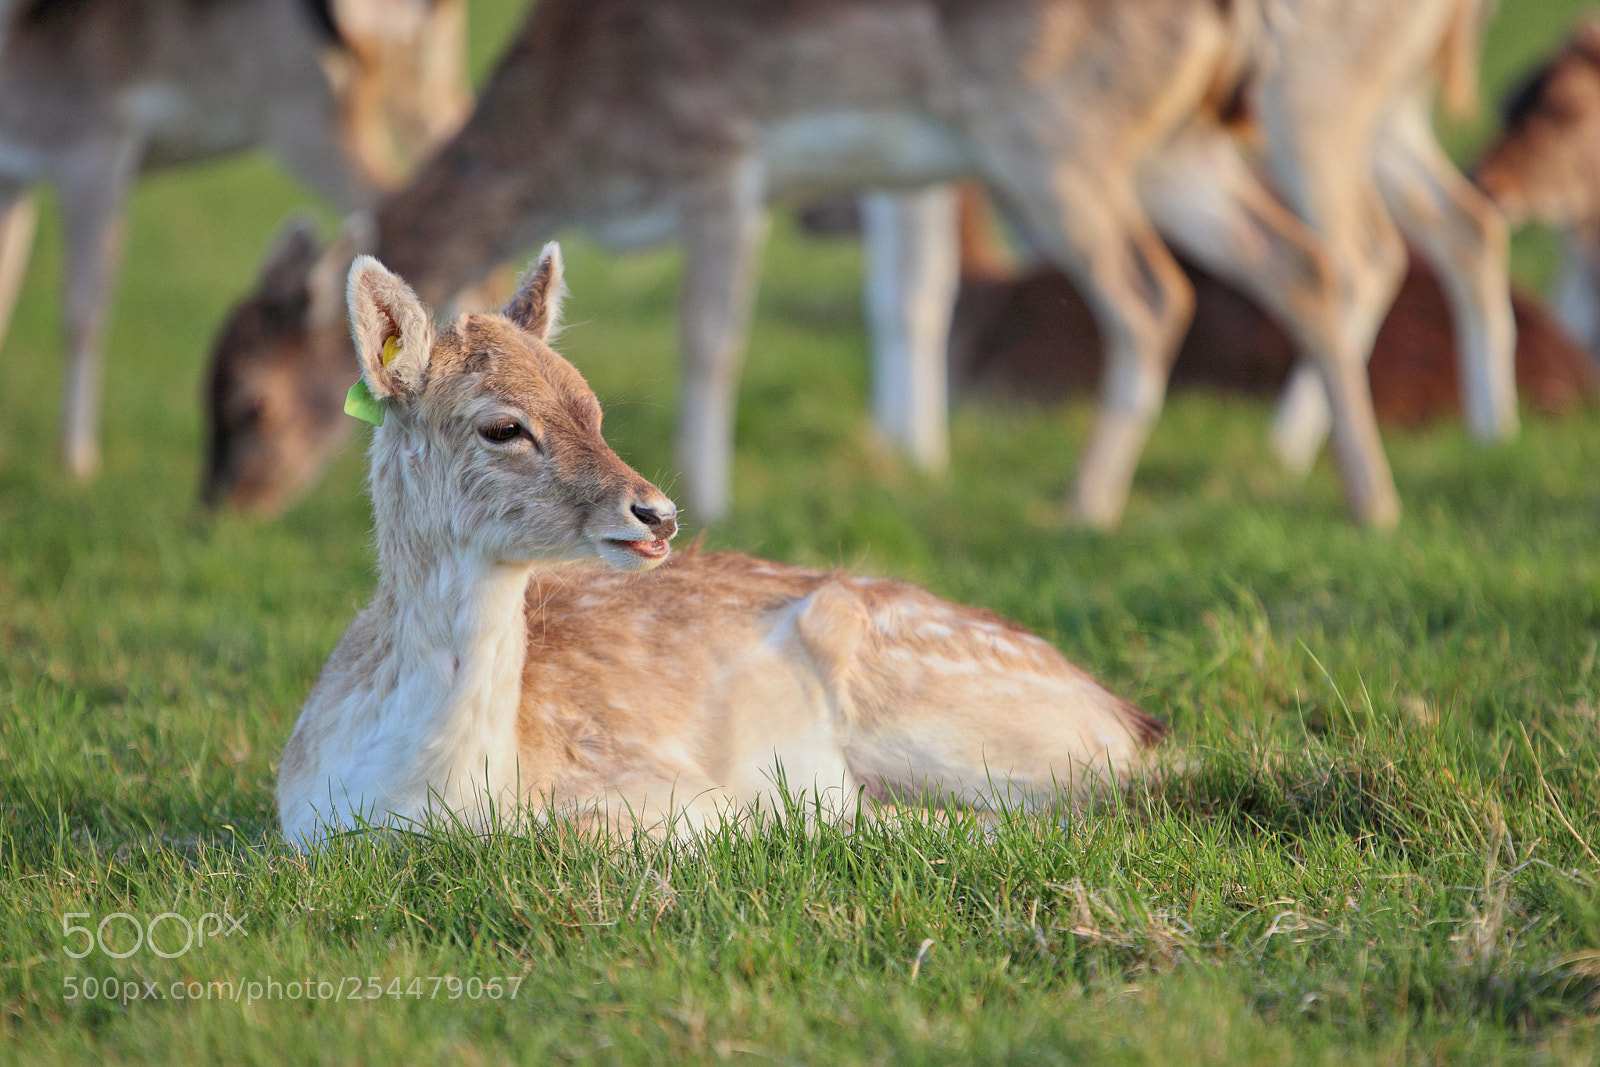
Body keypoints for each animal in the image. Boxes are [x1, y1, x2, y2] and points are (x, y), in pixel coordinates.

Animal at [0, 0, 468, 480]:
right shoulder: (12, 174)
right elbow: (6, 291)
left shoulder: (97, 144)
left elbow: (83, 311)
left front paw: (77, 465)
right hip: (426, 91)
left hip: (306, 116)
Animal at [206, 0, 1515, 531]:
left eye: (250, 400)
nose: (221, 505)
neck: (581, 133)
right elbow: (905, 296)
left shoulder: (721, 156)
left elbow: (710, 334)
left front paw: (712, 489)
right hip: (1183, 140)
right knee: (1327, 259)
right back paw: (1373, 493)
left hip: (1057, 132)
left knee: (1166, 289)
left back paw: (1085, 500)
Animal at [275, 245, 1166, 845]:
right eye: (502, 426)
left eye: (593, 406)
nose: (658, 513)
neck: (440, 800)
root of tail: (1131, 720)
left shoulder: (661, 789)